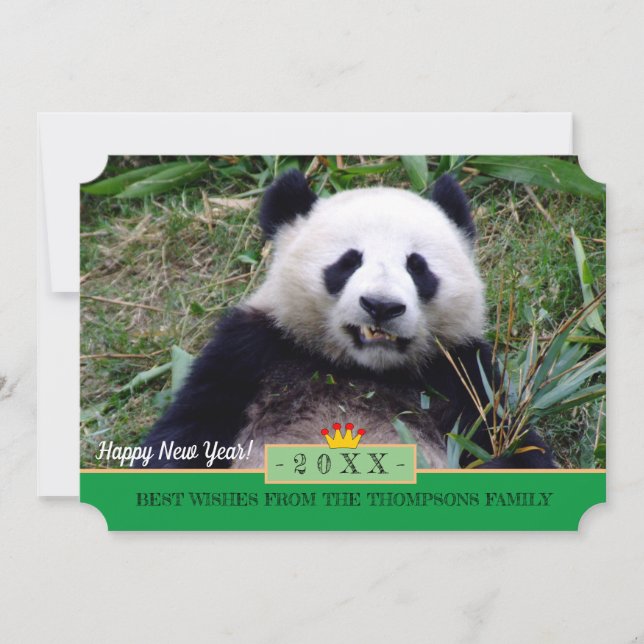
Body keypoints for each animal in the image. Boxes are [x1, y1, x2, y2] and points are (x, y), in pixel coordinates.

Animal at [139, 170, 556, 469]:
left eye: (417, 267)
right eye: (348, 261)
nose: (381, 306)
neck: (362, 369)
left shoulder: (462, 373)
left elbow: (519, 449)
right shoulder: (250, 351)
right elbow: (184, 440)